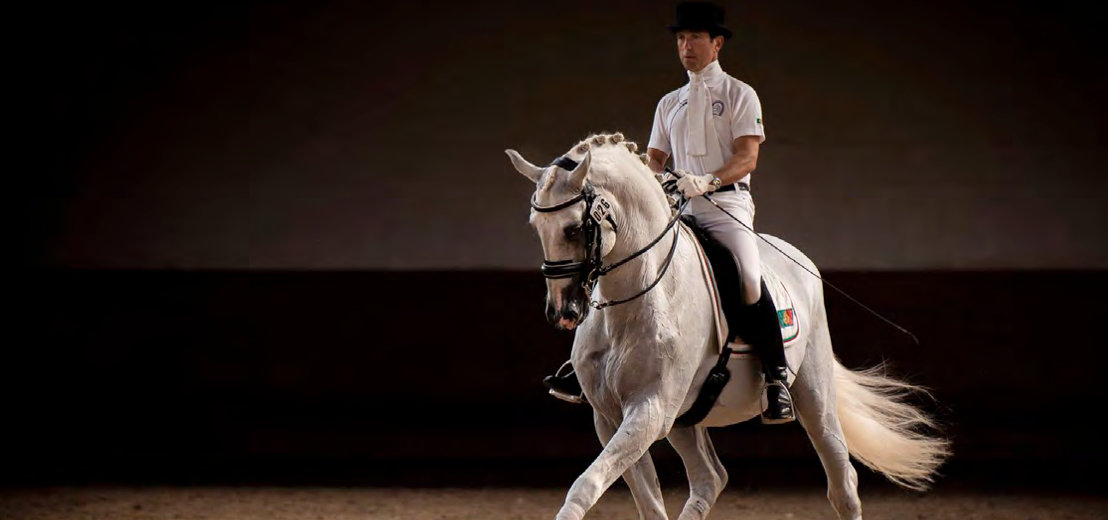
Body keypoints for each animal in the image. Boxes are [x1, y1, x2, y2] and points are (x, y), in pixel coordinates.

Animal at [507, 131, 948, 516]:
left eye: (573, 228)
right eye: (535, 227)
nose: (562, 312)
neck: (635, 299)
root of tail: (799, 259)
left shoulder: (650, 409)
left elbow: (587, 485)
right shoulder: (610, 416)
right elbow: (646, 503)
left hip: (813, 396)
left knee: (842, 483)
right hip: (686, 419)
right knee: (710, 479)